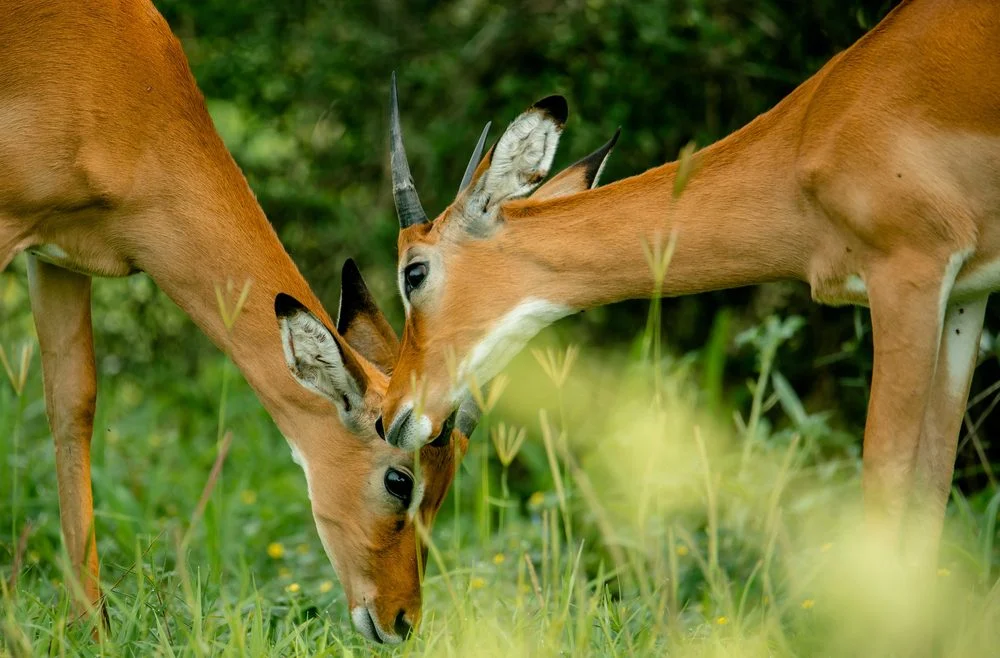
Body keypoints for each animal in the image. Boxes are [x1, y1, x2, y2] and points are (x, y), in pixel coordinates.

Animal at [379, 0, 1000, 562]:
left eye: (415, 271)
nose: (391, 417)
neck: (814, 132)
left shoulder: (908, 273)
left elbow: (887, 483)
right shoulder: (964, 296)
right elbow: (931, 490)